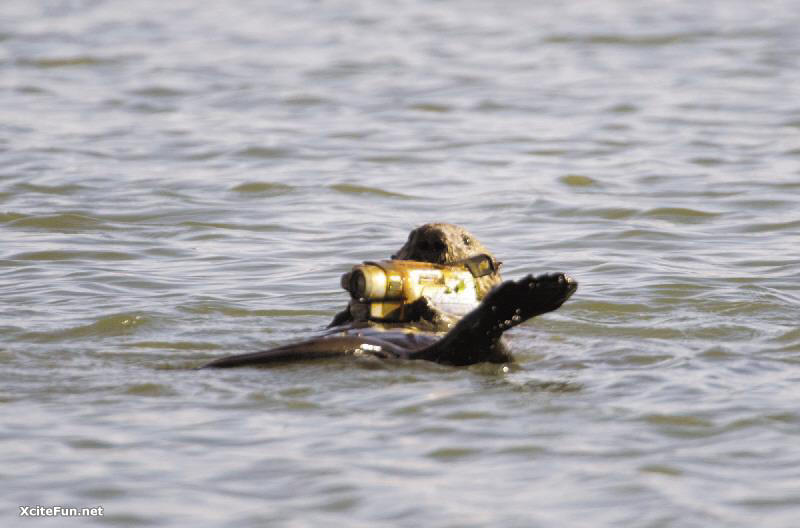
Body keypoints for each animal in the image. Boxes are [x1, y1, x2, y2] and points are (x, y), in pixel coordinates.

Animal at [200, 223, 577, 368]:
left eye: (466, 239)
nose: (432, 238)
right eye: (411, 236)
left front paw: (427, 303)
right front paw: (353, 308)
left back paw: (545, 288)